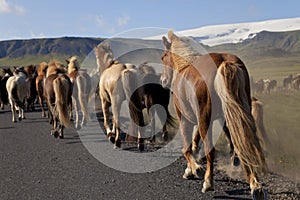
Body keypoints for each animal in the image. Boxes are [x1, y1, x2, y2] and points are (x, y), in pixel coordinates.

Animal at [162, 30, 268, 199]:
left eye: (163, 57)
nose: (163, 81)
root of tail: (224, 62)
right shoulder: (209, 119)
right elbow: (195, 141)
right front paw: (190, 169)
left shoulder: (186, 120)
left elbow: (187, 148)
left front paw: (195, 169)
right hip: (240, 113)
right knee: (244, 145)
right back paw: (256, 186)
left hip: (207, 118)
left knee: (211, 151)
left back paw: (208, 183)